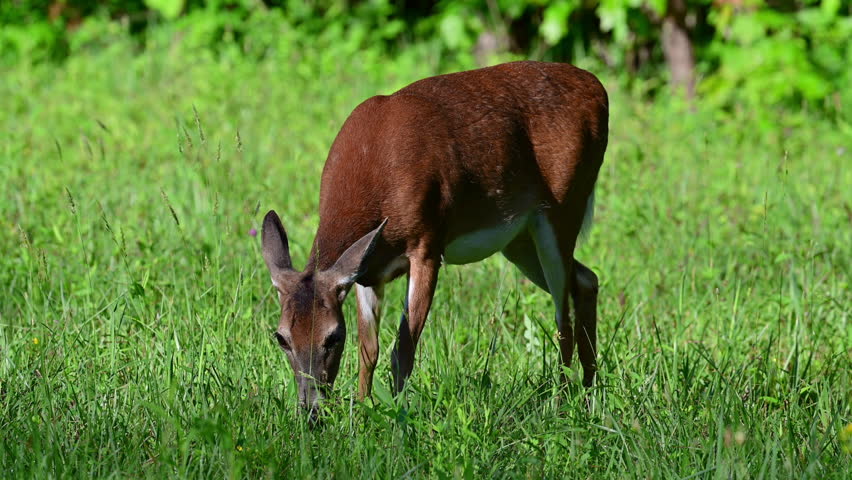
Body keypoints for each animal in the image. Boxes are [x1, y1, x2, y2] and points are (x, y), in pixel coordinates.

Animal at [261, 61, 608, 418]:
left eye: (333, 336)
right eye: (281, 337)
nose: (311, 410)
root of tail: (596, 86)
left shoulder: (427, 245)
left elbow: (402, 350)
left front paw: (396, 417)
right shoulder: (367, 269)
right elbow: (368, 348)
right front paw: (362, 409)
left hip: (563, 206)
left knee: (563, 316)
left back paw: (562, 403)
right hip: (519, 238)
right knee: (587, 279)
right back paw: (589, 391)